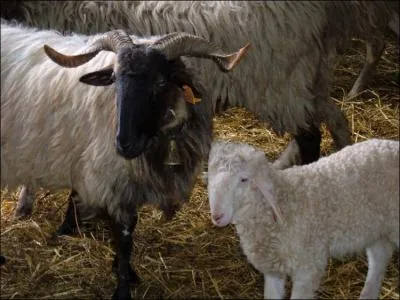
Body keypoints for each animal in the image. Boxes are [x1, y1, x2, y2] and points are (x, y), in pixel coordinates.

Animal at [208, 139, 398, 298]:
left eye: (244, 179)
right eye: (209, 178)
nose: (217, 216)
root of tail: (392, 144)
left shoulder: (308, 267)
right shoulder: (273, 271)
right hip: (377, 228)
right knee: (379, 257)